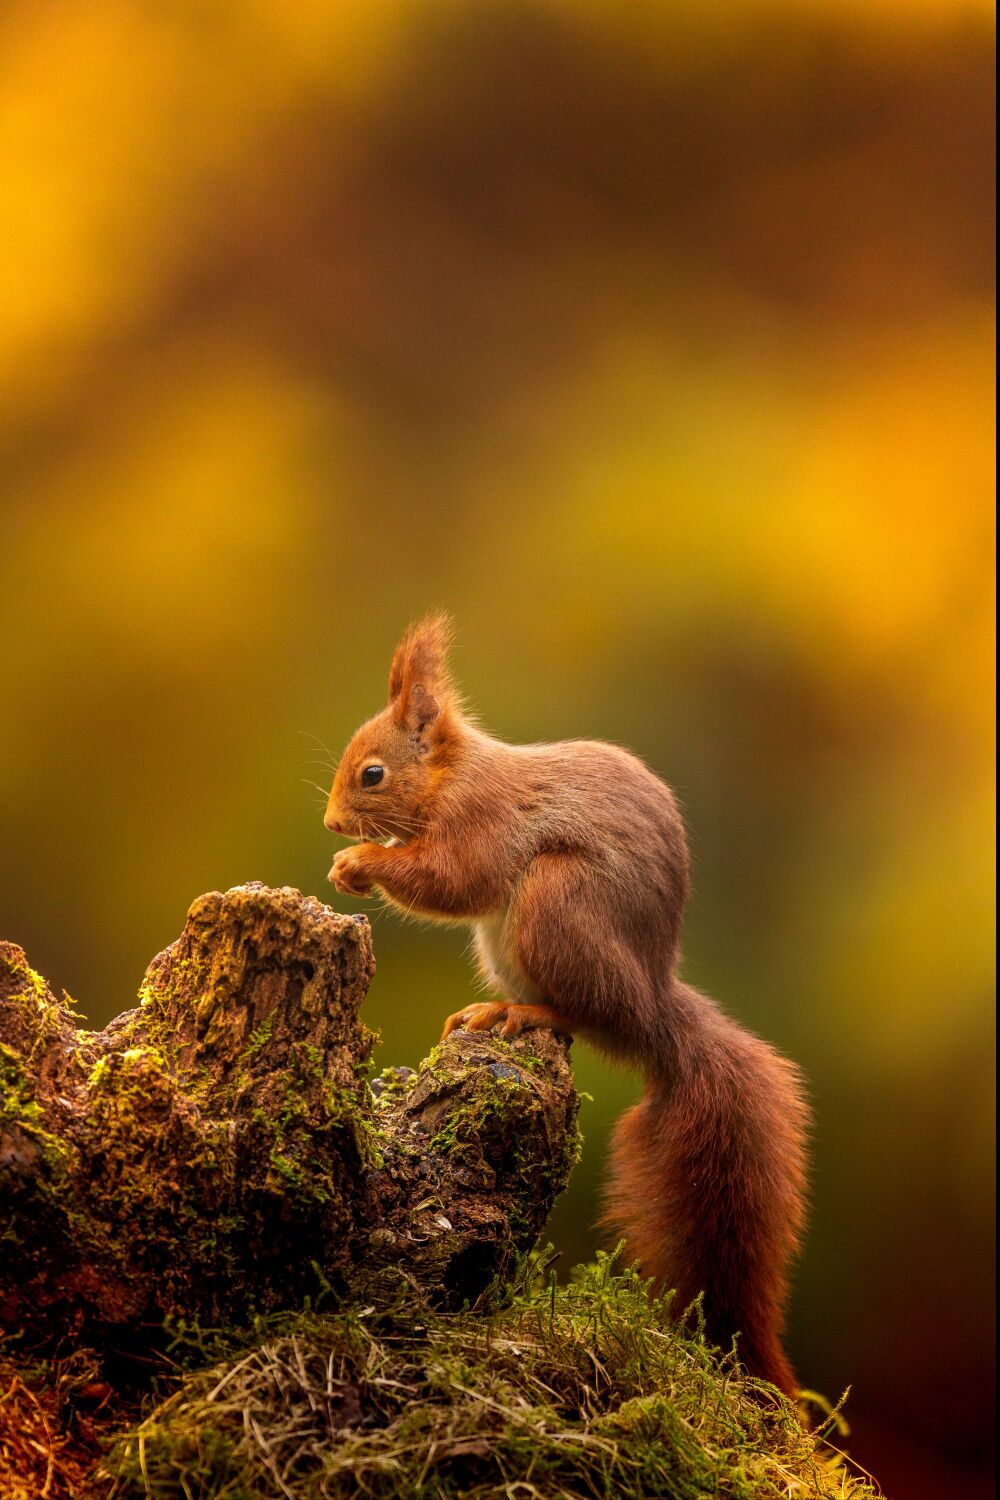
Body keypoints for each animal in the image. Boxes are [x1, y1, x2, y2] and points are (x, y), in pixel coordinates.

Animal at [325, 609, 809, 1392]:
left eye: (373, 773)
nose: (335, 825)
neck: (454, 777)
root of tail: (652, 1009)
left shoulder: (481, 824)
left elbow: (451, 879)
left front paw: (362, 863)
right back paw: (490, 1011)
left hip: (558, 904)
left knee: (581, 1013)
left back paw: (528, 1013)